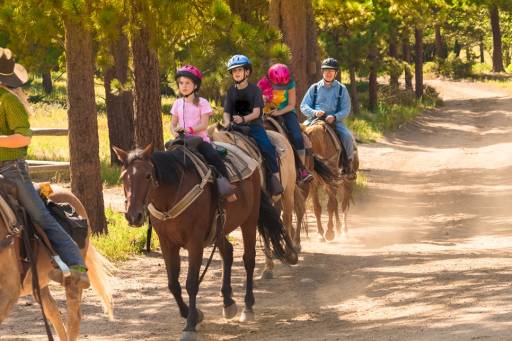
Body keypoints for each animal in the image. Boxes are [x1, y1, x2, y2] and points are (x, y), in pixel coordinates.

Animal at [112, 143, 296, 340]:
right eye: (123, 177)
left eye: (147, 175)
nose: (134, 215)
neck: (173, 196)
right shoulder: (167, 244)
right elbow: (173, 284)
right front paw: (193, 314)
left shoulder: (195, 243)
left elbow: (191, 283)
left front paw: (190, 325)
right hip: (219, 229)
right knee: (228, 253)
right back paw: (228, 302)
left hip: (249, 220)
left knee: (249, 260)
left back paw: (247, 307)